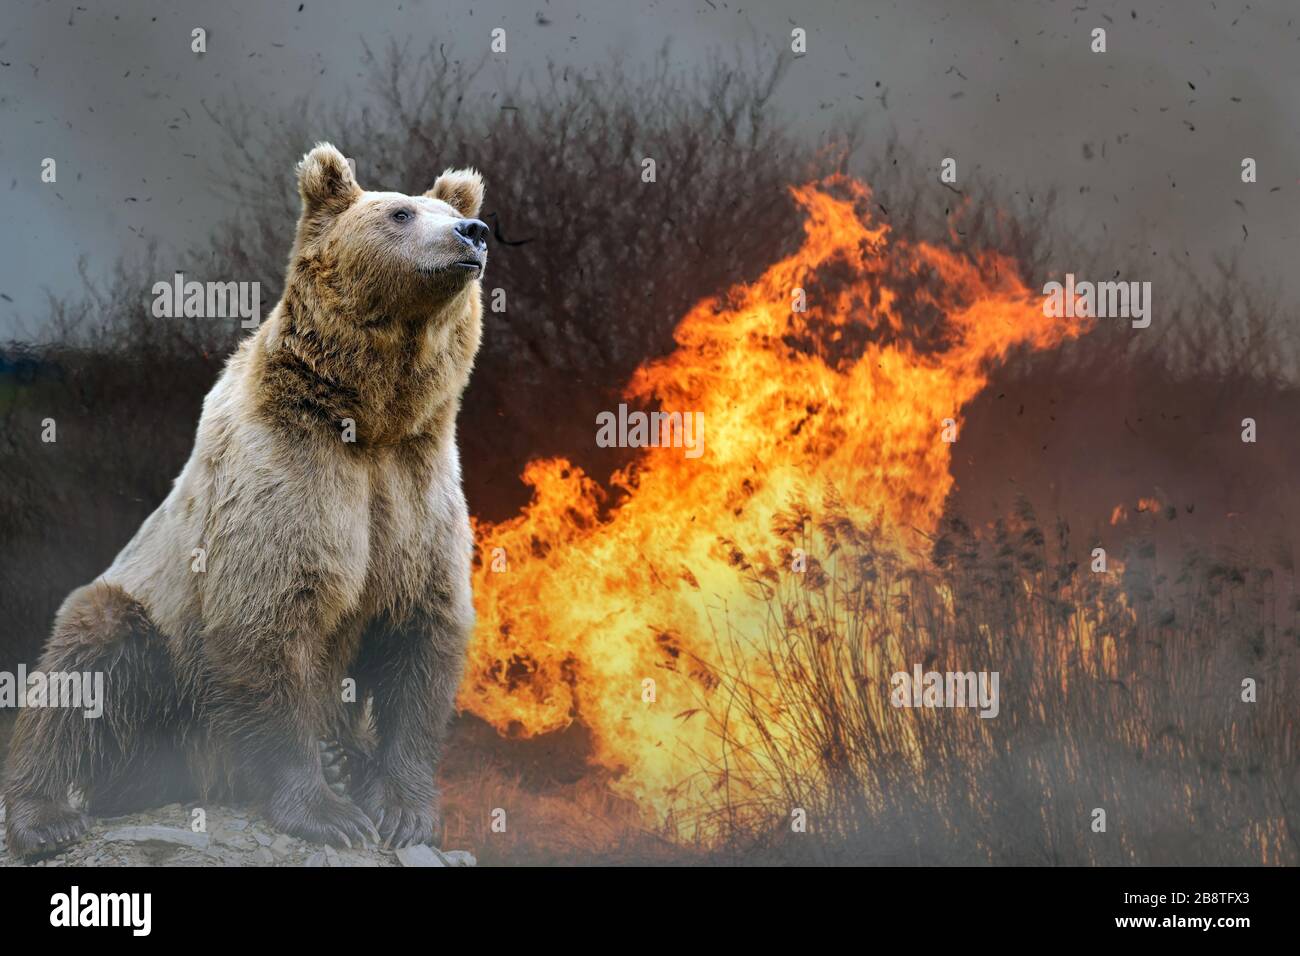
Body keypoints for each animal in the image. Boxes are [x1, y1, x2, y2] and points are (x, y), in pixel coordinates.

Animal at [2, 143, 488, 858]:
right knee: (86, 664)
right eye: (400, 213)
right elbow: (269, 622)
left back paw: (347, 756)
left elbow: (421, 633)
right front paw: (327, 813)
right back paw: (46, 815)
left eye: (450, 209)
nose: (471, 233)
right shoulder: (285, 476)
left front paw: (402, 807)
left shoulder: (415, 491)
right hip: (156, 643)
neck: (369, 419)